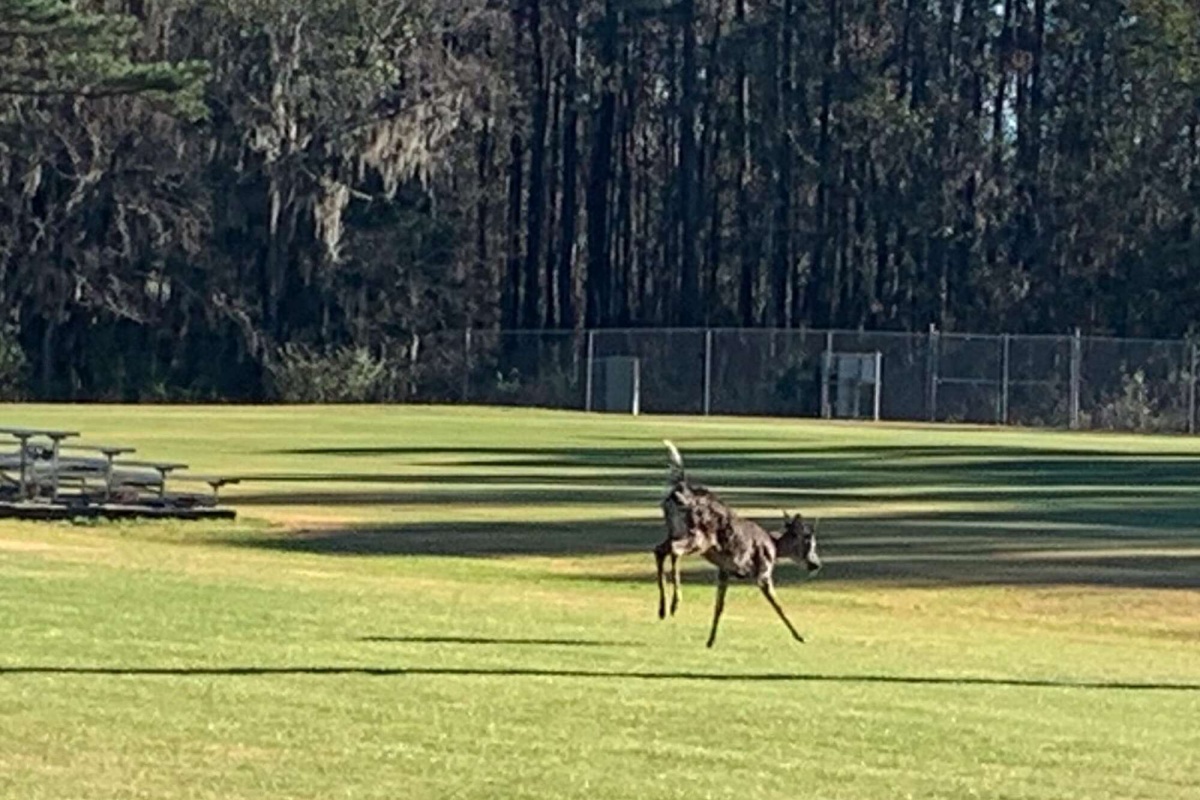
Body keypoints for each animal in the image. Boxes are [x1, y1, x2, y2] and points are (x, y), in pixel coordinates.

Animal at [652, 441, 820, 647]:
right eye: (809, 541)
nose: (816, 564)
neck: (775, 546)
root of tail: (680, 490)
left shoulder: (724, 570)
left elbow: (719, 606)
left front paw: (710, 641)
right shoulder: (763, 572)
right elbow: (778, 605)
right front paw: (800, 637)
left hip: (675, 531)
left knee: (659, 549)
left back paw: (662, 610)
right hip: (699, 537)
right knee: (675, 550)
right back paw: (675, 604)